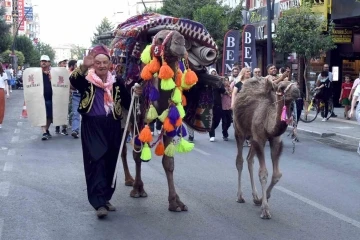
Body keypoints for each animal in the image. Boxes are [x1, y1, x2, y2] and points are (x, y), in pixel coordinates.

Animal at [111, 13, 221, 212]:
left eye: (182, 38)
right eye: (160, 38)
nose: (180, 42)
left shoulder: (169, 120)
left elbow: (169, 162)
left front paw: (175, 202)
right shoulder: (140, 118)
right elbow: (138, 154)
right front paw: (138, 189)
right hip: (122, 113)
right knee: (123, 147)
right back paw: (130, 180)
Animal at [232, 77, 300, 219]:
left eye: (297, 84)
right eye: (281, 87)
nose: (297, 91)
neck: (268, 120)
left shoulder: (275, 140)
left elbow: (277, 174)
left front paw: (262, 199)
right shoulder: (259, 138)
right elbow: (263, 173)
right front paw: (265, 210)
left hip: (252, 137)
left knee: (249, 159)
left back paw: (255, 196)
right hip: (240, 131)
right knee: (240, 160)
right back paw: (240, 196)